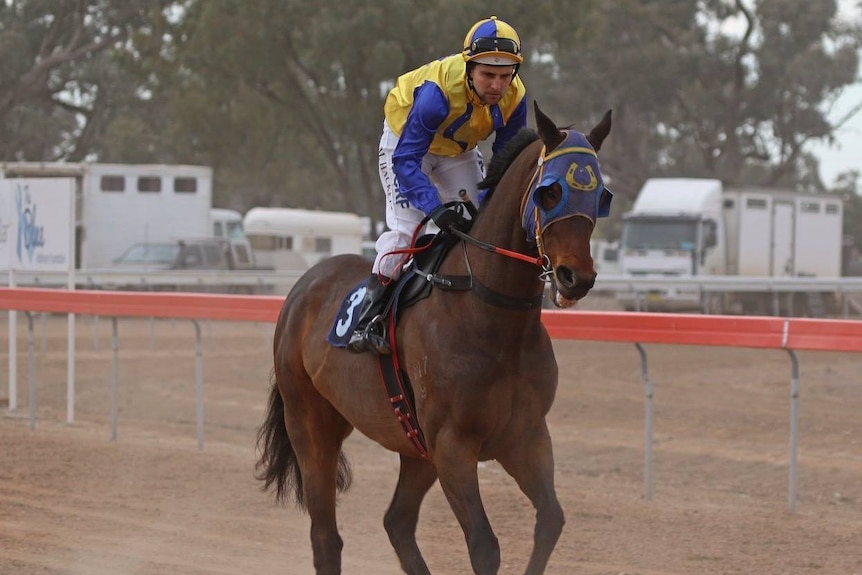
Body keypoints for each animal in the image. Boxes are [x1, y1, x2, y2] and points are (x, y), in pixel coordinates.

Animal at [256, 101, 616, 572]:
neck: (491, 317)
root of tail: (303, 288)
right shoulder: (453, 445)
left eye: (600, 195)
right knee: (326, 536)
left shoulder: (525, 435)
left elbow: (551, 520)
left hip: (414, 445)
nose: (578, 278)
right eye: (549, 193)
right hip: (311, 423)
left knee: (397, 521)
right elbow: (484, 545)